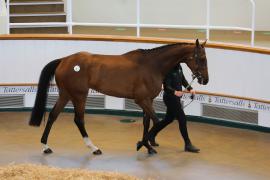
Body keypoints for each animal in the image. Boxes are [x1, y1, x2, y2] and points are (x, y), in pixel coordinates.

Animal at [29, 39, 209, 155]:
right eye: (201, 58)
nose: (205, 80)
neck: (152, 65)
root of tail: (64, 60)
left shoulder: (147, 100)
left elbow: (146, 123)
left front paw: (148, 146)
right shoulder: (142, 100)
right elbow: (157, 122)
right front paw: (142, 144)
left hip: (66, 94)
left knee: (53, 116)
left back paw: (46, 146)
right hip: (79, 96)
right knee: (78, 120)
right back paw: (94, 148)